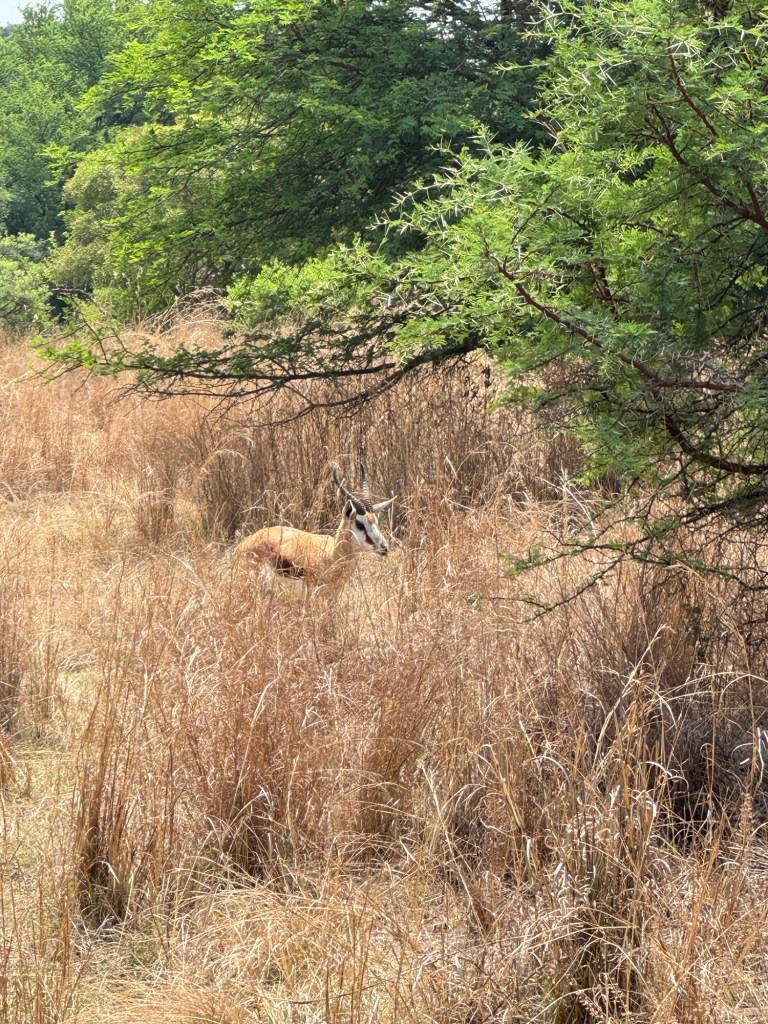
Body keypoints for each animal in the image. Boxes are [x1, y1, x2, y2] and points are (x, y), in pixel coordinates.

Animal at [234, 463, 394, 603]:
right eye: (360, 524)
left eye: (376, 521)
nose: (384, 547)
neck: (331, 554)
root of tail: (244, 544)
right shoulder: (309, 594)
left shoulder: (333, 595)